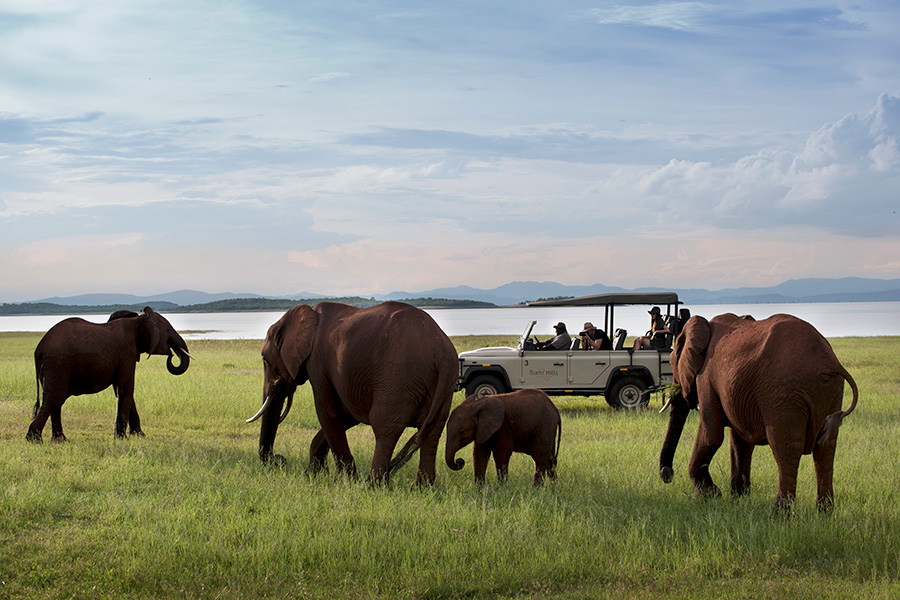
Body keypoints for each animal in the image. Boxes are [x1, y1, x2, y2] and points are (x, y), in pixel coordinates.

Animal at [27, 310, 192, 440]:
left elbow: (121, 389)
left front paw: (138, 435)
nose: (171, 355)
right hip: (59, 364)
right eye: (169, 330)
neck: (138, 319)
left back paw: (60, 440)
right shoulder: (127, 352)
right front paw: (122, 438)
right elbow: (126, 387)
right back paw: (34, 439)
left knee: (55, 401)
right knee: (54, 399)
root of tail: (38, 349)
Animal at [244, 302, 458, 486]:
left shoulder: (317, 362)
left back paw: (372, 485)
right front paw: (312, 474)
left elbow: (327, 412)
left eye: (265, 359)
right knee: (433, 432)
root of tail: (441, 353)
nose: (278, 460)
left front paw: (345, 480)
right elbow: (346, 414)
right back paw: (421, 487)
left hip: (399, 379)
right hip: (443, 387)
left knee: (385, 429)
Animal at [656, 312, 860, 512]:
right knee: (826, 448)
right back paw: (824, 513)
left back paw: (780, 515)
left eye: (672, 364)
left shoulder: (706, 377)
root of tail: (829, 362)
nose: (668, 475)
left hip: (783, 395)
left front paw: (710, 496)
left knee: (786, 449)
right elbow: (740, 441)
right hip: (831, 391)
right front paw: (738, 499)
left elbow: (711, 435)